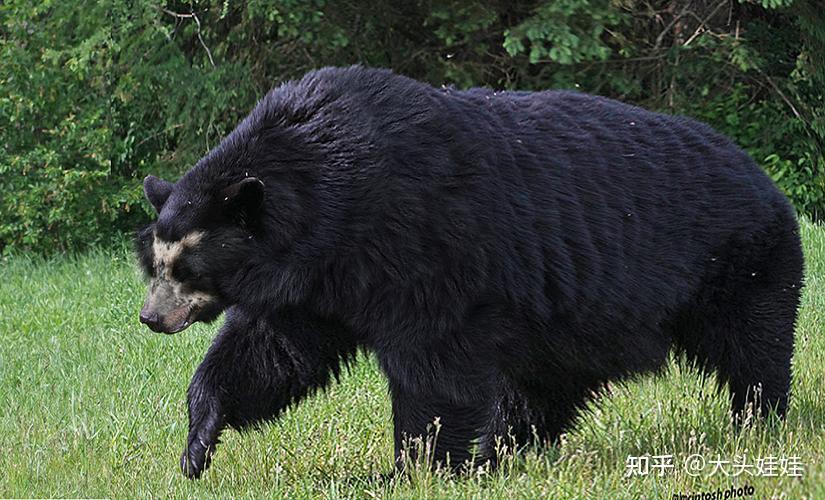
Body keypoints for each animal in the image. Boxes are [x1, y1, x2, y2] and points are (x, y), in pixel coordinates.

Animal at [137, 64, 804, 478]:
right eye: (156, 261)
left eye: (187, 264)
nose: (150, 318)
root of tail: (769, 187)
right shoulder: (316, 283)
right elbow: (274, 352)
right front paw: (199, 442)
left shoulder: (420, 246)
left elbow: (434, 362)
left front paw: (411, 467)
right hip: (566, 321)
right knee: (541, 387)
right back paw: (508, 453)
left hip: (737, 264)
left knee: (753, 347)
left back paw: (758, 424)